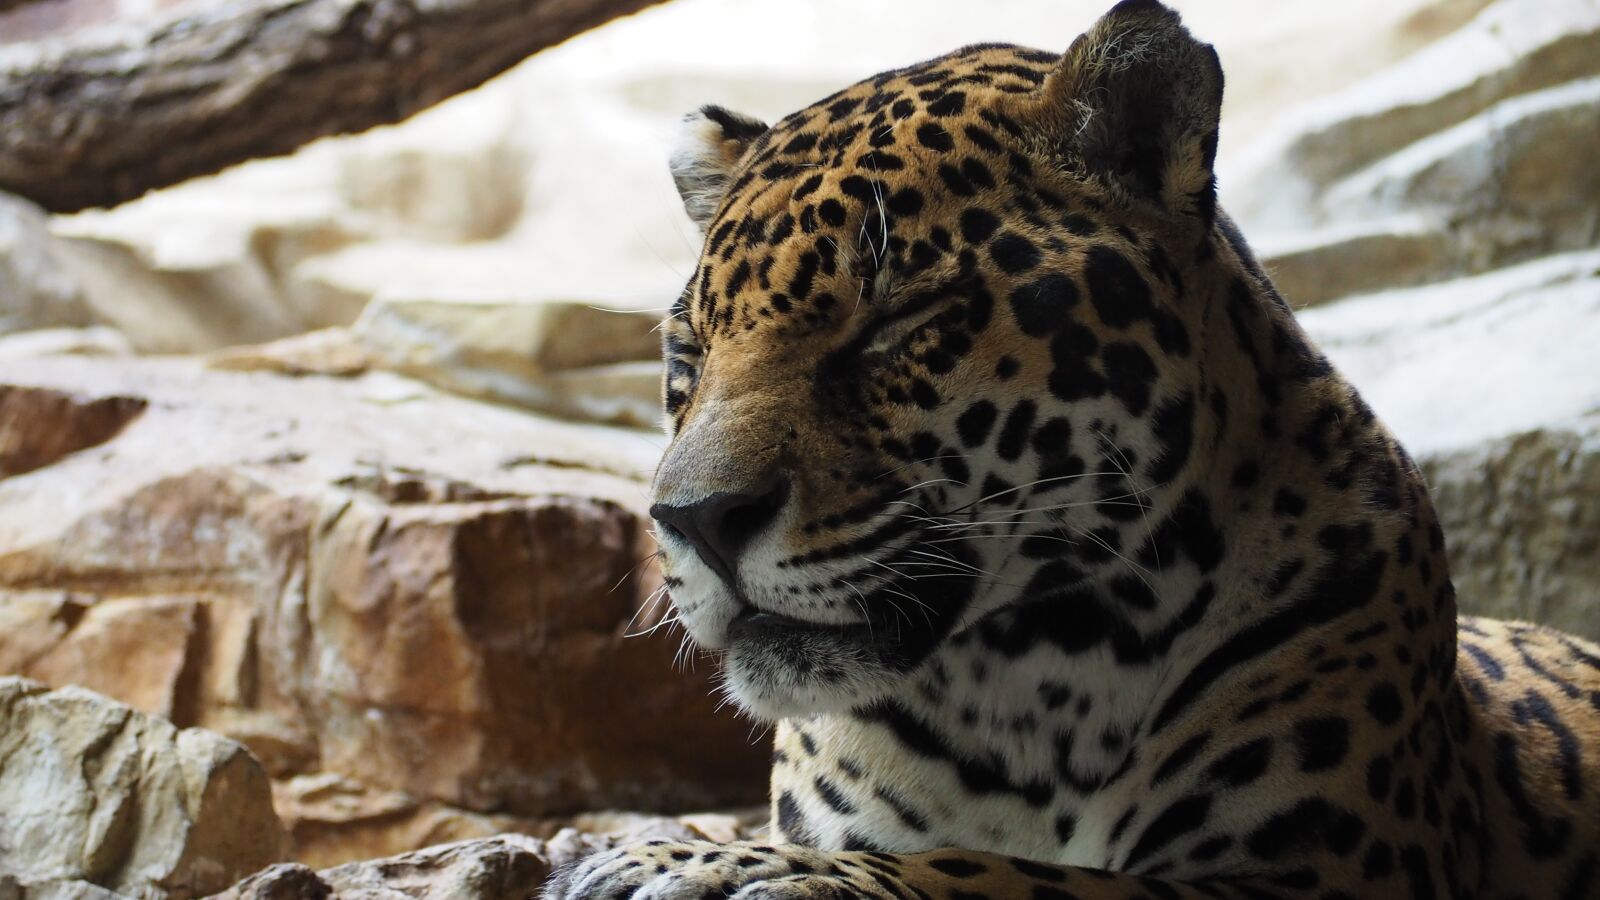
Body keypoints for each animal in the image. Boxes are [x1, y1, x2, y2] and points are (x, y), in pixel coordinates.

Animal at [544, 2, 1600, 897]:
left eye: (898, 321)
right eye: (688, 354)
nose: (694, 523)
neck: (1031, 691)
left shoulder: (1323, 877)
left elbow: (1013, 874)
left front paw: (734, 870)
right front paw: (651, 850)